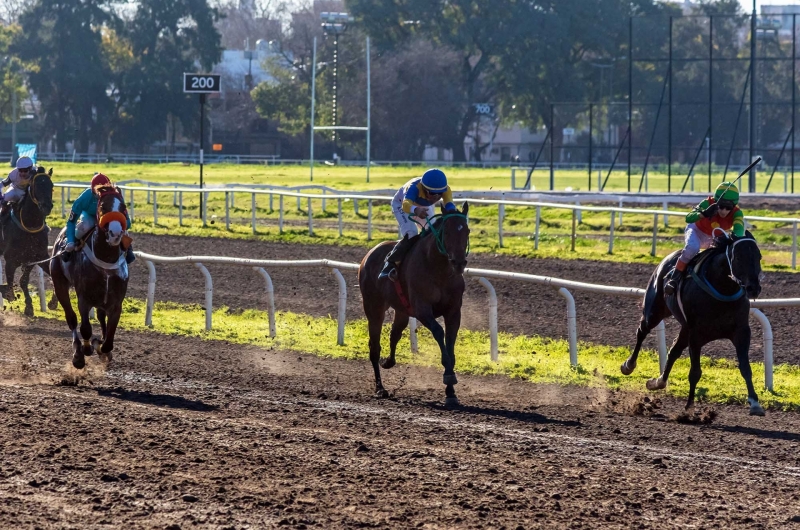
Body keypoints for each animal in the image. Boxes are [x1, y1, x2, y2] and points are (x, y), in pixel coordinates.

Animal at [0, 166, 54, 314]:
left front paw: (31, 306)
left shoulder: (36, 258)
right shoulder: (10, 260)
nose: (47, 206)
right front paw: (9, 295)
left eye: (51, 186)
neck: (30, 226)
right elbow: (11, 283)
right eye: (37, 186)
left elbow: (24, 280)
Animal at [50, 190, 130, 368]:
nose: (115, 233)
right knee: (72, 319)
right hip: (59, 283)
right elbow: (85, 328)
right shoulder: (84, 299)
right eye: (103, 206)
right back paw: (78, 353)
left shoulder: (116, 303)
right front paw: (86, 349)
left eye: (123, 207)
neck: (106, 260)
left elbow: (109, 342)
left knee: (100, 315)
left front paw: (101, 349)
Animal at [358, 202, 468, 404]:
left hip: (402, 310)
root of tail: (370, 252)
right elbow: (439, 333)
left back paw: (389, 361)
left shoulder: (454, 311)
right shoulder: (422, 309)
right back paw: (380, 388)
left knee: (394, 334)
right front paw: (448, 376)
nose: (458, 263)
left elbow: (450, 344)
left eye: (467, 231)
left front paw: (451, 392)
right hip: (373, 307)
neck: (439, 269)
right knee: (374, 347)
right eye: (447, 232)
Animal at [620, 229, 764, 414]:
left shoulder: (741, 332)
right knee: (642, 332)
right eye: (738, 257)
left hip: (685, 328)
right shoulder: (696, 335)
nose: (753, 288)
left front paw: (755, 403)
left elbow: (746, 367)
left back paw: (658, 382)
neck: (722, 289)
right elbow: (695, 372)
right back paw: (629, 365)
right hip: (654, 311)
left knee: (673, 351)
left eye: (759, 256)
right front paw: (689, 407)